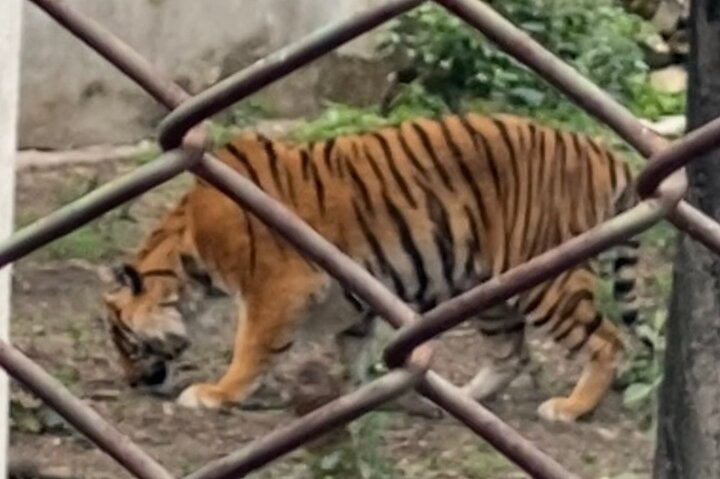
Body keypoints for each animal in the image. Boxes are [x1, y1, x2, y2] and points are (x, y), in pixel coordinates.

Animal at [98, 111, 642, 423]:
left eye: (125, 341)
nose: (130, 383)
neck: (187, 252)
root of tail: (602, 151)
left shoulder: (276, 289)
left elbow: (251, 349)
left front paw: (216, 393)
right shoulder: (352, 293)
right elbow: (352, 351)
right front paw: (352, 396)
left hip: (548, 280)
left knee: (609, 342)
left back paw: (571, 409)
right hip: (491, 287)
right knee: (510, 353)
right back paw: (456, 397)